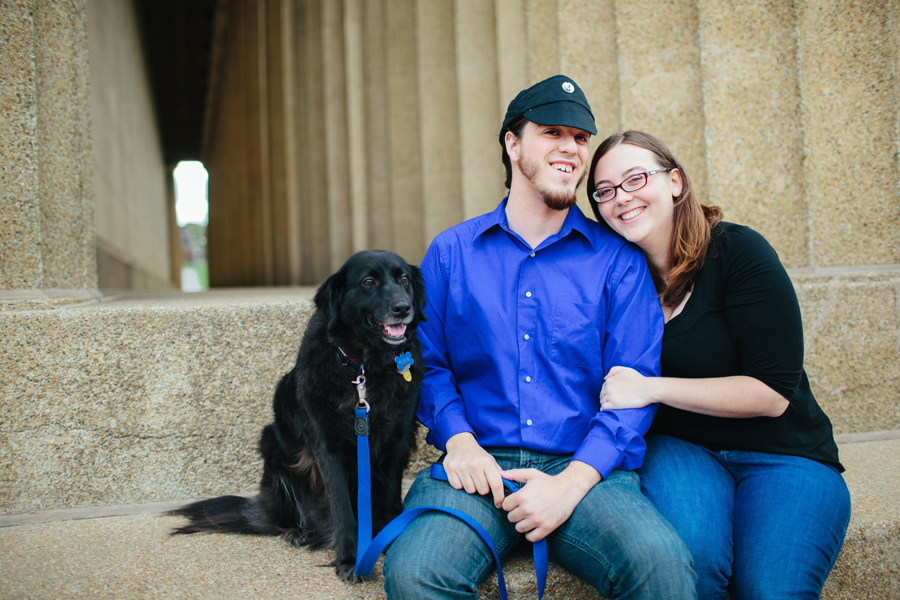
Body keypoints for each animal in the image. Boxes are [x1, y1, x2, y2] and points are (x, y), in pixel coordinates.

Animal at [171, 250, 426, 580]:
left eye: (404, 279)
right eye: (368, 281)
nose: (403, 308)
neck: (364, 368)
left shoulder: (398, 440)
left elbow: (390, 498)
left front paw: (387, 539)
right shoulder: (329, 447)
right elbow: (342, 506)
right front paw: (349, 557)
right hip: (274, 447)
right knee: (291, 516)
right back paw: (300, 532)